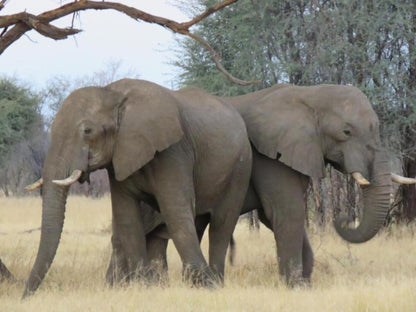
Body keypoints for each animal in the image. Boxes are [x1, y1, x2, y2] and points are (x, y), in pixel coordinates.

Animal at [23, 78, 250, 298]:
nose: (25, 296)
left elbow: (175, 210)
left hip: (239, 169)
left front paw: (205, 286)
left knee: (221, 223)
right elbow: (127, 216)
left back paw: (214, 282)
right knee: (200, 222)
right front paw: (144, 286)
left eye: (87, 131)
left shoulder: (173, 152)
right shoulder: (119, 158)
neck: (112, 93)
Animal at [133, 83, 412, 288]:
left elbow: (276, 216)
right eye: (347, 132)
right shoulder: (269, 156)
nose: (343, 219)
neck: (310, 94)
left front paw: (305, 282)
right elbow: (285, 211)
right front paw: (296, 285)